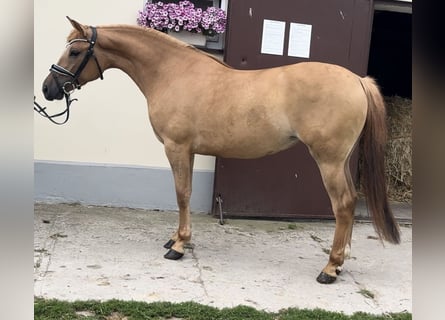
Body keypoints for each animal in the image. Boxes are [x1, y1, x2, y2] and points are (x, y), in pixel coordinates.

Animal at [41, 18, 400, 282]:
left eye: (75, 53)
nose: (48, 89)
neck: (172, 72)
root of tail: (357, 80)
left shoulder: (177, 147)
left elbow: (181, 194)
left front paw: (179, 245)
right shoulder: (188, 150)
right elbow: (184, 194)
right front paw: (176, 238)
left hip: (328, 160)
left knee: (343, 204)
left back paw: (330, 267)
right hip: (340, 160)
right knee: (350, 200)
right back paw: (342, 260)